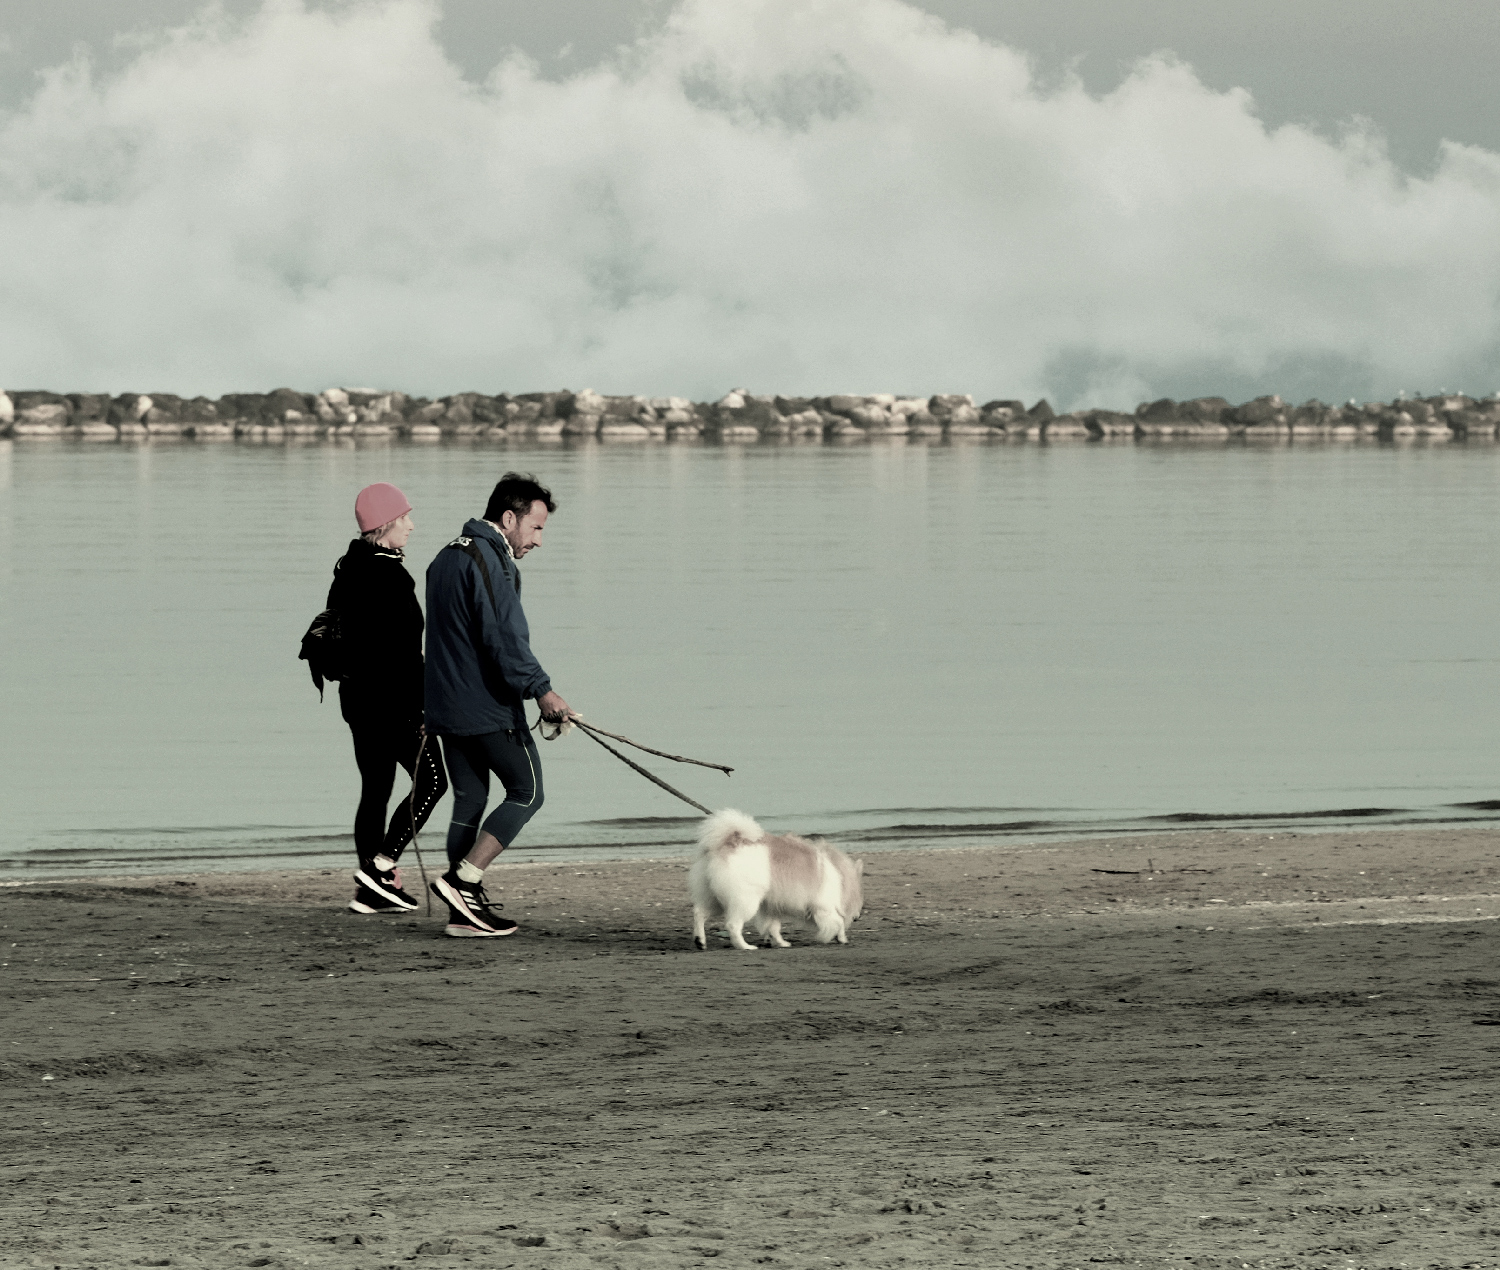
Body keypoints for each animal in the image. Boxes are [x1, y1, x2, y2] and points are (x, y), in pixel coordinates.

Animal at [690, 809, 865, 951]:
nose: (857, 918)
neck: (841, 877)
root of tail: (726, 844)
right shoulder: (824, 907)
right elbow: (839, 921)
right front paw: (841, 937)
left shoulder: (770, 906)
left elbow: (773, 927)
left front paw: (779, 943)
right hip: (745, 900)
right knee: (733, 925)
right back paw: (745, 946)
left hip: (714, 898)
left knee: (699, 913)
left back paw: (700, 941)